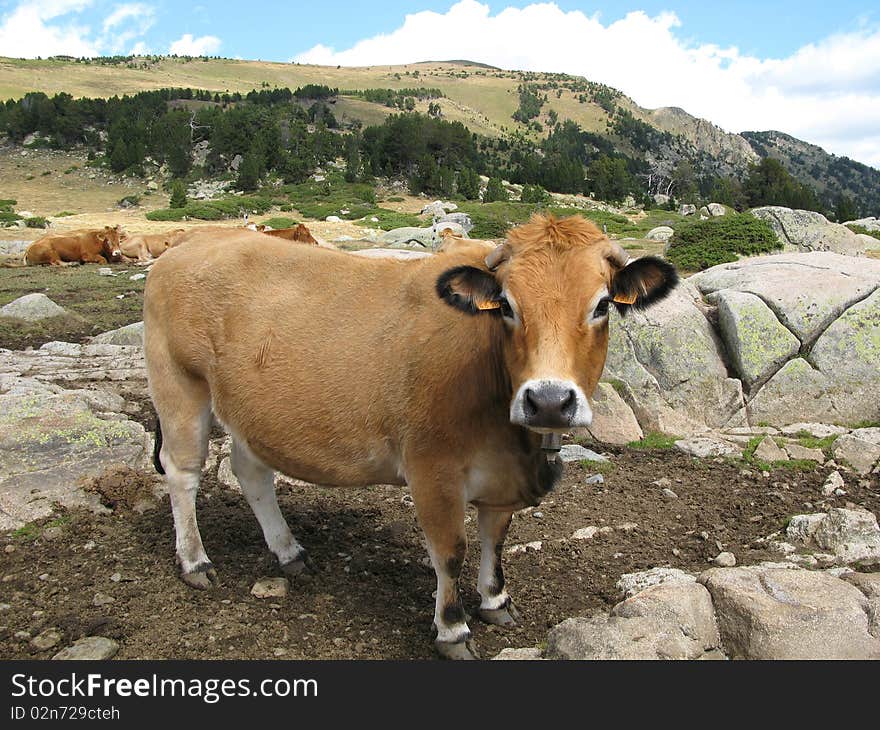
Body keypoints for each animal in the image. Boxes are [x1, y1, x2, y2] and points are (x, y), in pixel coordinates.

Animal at [146, 213, 680, 656]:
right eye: (507, 306)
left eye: (603, 304)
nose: (548, 399)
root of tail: (192, 242)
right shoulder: (431, 470)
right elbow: (450, 552)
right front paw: (453, 629)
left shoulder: (501, 478)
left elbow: (495, 539)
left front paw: (496, 600)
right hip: (179, 386)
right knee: (183, 473)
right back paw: (195, 562)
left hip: (252, 412)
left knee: (250, 472)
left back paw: (288, 550)